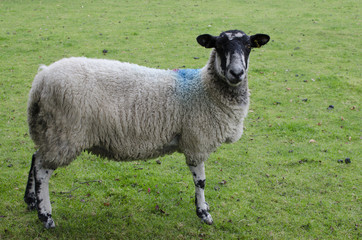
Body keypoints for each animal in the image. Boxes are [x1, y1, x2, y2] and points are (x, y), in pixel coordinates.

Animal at [24, 30, 268, 229]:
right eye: (219, 46)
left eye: (248, 46)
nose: (237, 73)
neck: (204, 89)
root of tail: (40, 79)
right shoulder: (197, 142)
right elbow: (200, 181)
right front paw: (204, 213)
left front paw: (204, 209)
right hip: (64, 133)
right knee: (42, 170)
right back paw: (46, 217)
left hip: (49, 132)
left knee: (35, 158)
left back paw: (31, 201)